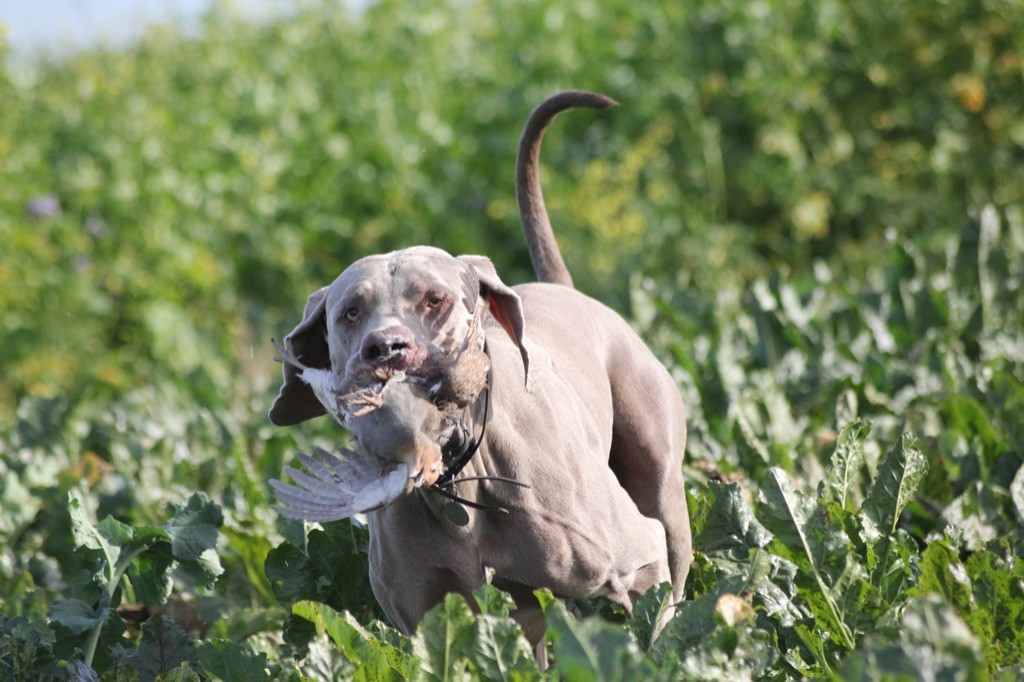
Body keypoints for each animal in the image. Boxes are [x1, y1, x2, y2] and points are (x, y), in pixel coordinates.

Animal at [268, 90, 692, 659]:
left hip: (660, 481)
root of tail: (570, 291)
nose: (387, 349)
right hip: (521, 609)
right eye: (350, 312)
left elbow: (649, 629)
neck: (458, 479)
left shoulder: (638, 560)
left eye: (436, 299)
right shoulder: (433, 618)